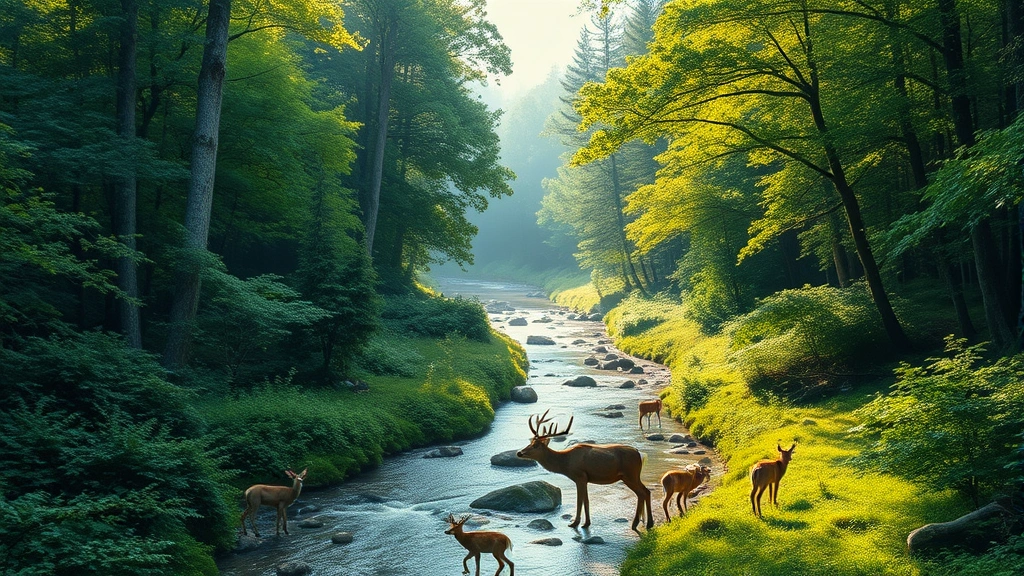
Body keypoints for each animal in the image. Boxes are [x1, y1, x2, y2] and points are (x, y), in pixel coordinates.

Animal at [516, 410, 654, 531]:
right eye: (530, 442)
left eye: (535, 445)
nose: (519, 452)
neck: (566, 463)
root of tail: (640, 454)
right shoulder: (586, 478)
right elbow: (586, 500)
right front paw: (586, 523)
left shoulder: (580, 476)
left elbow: (580, 500)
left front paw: (575, 523)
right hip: (633, 476)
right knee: (645, 492)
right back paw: (643, 523)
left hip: (630, 475)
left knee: (643, 492)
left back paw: (644, 524)